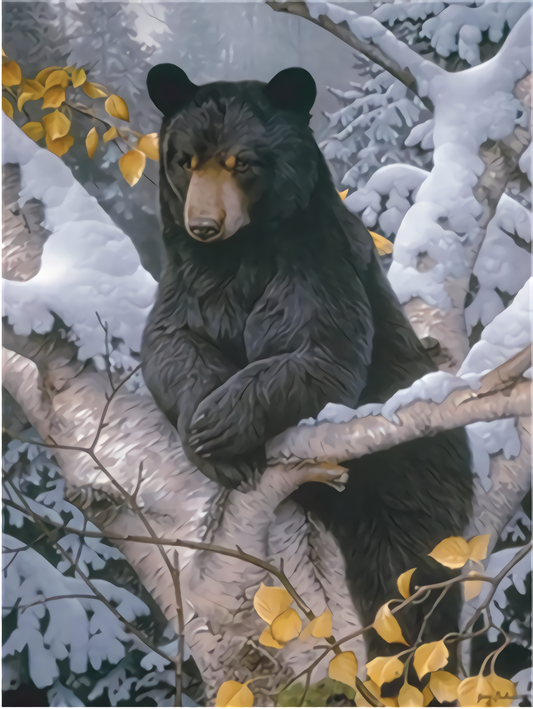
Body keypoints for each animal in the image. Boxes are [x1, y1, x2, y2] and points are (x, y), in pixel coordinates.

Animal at [141, 63, 470, 668]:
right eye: (184, 160)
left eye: (241, 162)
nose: (203, 224)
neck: (237, 254)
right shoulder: (189, 278)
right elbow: (170, 344)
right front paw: (211, 439)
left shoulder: (314, 261)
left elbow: (322, 353)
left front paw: (221, 423)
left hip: (412, 477)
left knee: (405, 581)